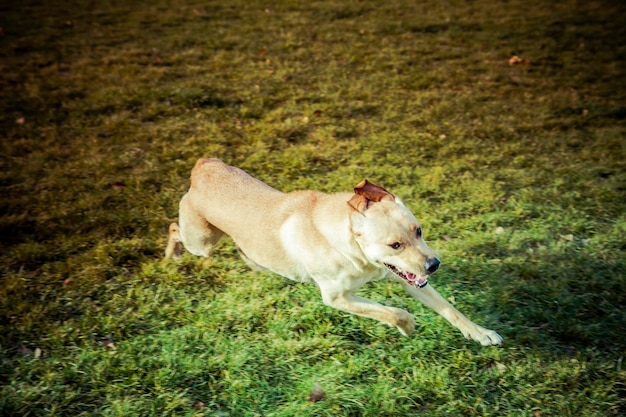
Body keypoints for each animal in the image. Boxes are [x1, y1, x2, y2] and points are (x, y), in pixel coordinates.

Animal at [166, 158, 502, 346]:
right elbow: (390, 311)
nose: (434, 265)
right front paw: (407, 326)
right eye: (395, 245)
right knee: (173, 227)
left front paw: (481, 333)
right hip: (202, 241)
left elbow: (450, 309)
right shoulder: (336, 297)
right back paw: (173, 254)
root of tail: (204, 165)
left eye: (418, 231)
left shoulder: (406, 277)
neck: (353, 251)